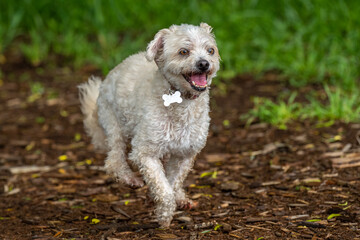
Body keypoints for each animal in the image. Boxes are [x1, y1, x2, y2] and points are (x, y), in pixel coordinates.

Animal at [78, 23, 219, 227]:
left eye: (211, 50)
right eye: (183, 51)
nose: (204, 64)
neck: (181, 101)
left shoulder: (185, 154)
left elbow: (173, 182)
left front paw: (166, 201)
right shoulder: (145, 153)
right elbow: (164, 189)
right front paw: (164, 217)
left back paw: (181, 198)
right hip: (115, 125)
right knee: (114, 160)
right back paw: (129, 178)